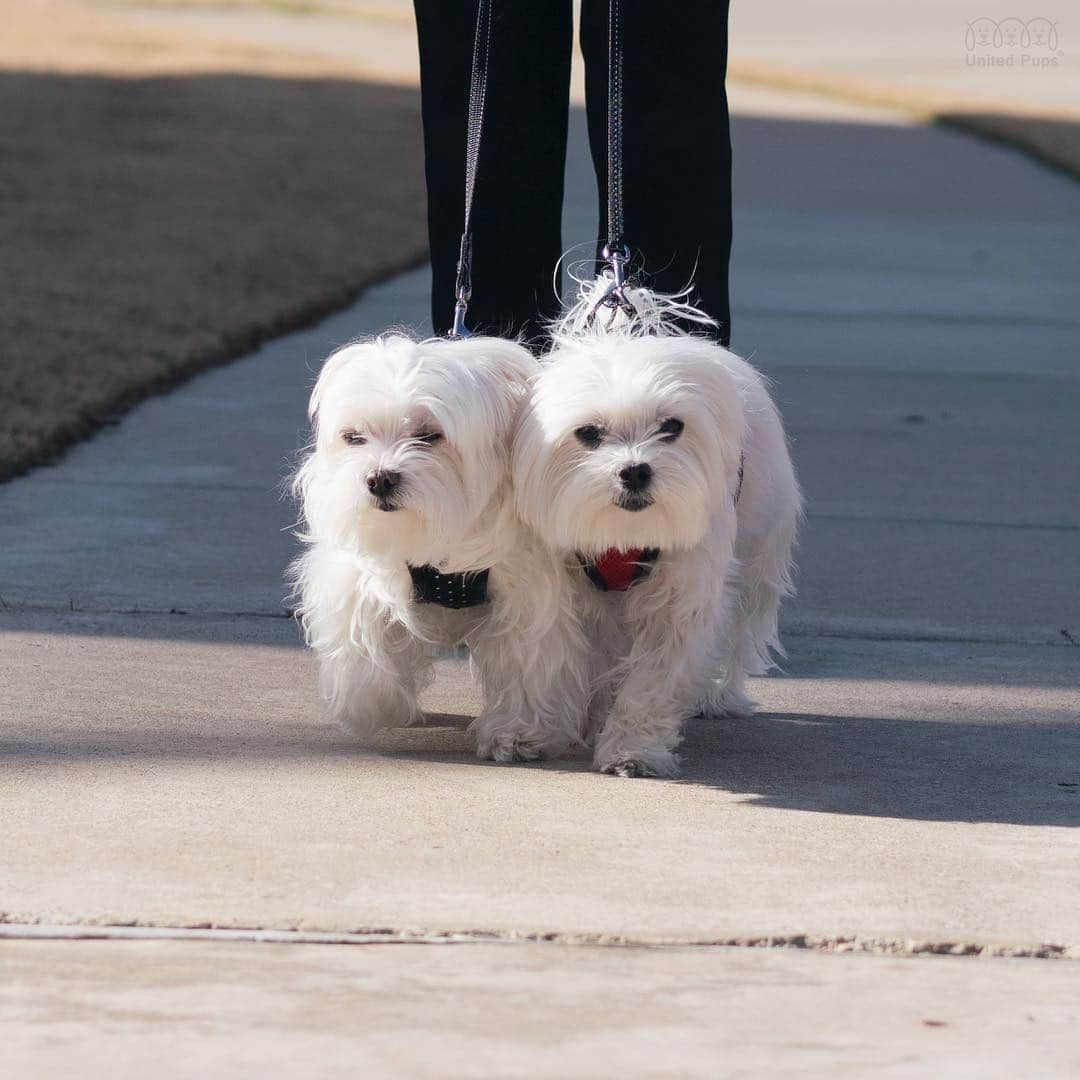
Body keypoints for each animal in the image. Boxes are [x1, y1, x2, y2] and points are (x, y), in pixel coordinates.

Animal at [291, 332, 587, 756]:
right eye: (354, 438)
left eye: (429, 436)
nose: (379, 479)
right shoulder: (368, 573)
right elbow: (365, 632)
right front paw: (373, 705)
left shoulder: (529, 592)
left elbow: (528, 656)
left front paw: (518, 731)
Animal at [505, 280, 803, 777]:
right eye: (588, 433)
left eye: (671, 427)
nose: (635, 471)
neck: (623, 535)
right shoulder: (562, 591)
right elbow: (556, 659)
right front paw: (538, 731)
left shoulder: (680, 596)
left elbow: (652, 677)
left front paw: (633, 749)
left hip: (758, 552)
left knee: (742, 627)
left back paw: (719, 696)